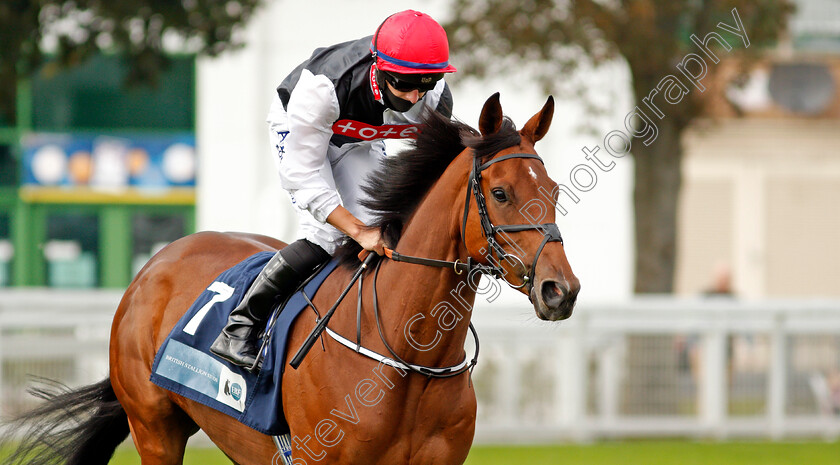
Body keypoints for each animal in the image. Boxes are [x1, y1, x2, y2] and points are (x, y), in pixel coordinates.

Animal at [1, 94, 576, 464]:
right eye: (499, 193)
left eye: (552, 190)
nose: (560, 290)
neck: (408, 356)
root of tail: (156, 264)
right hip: (154, 428)